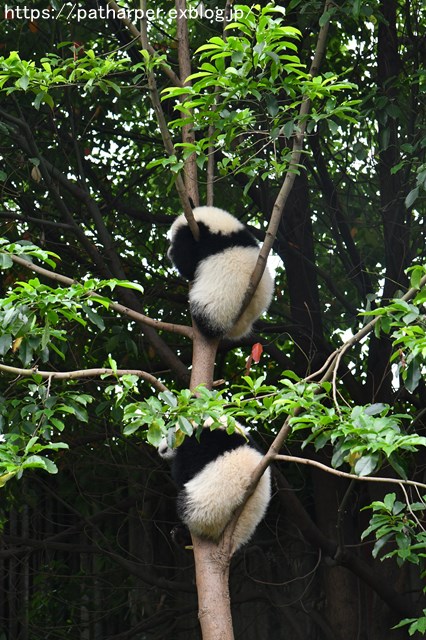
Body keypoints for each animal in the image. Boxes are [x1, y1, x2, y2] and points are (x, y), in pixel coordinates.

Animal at [158, 418, 272, 552]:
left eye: (170, 433)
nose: (160, 449)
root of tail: (233, 541)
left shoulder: (203, 442)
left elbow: (183, 470)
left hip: (206, 511)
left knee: (186, 507)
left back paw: (181, 534)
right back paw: (179, 536)